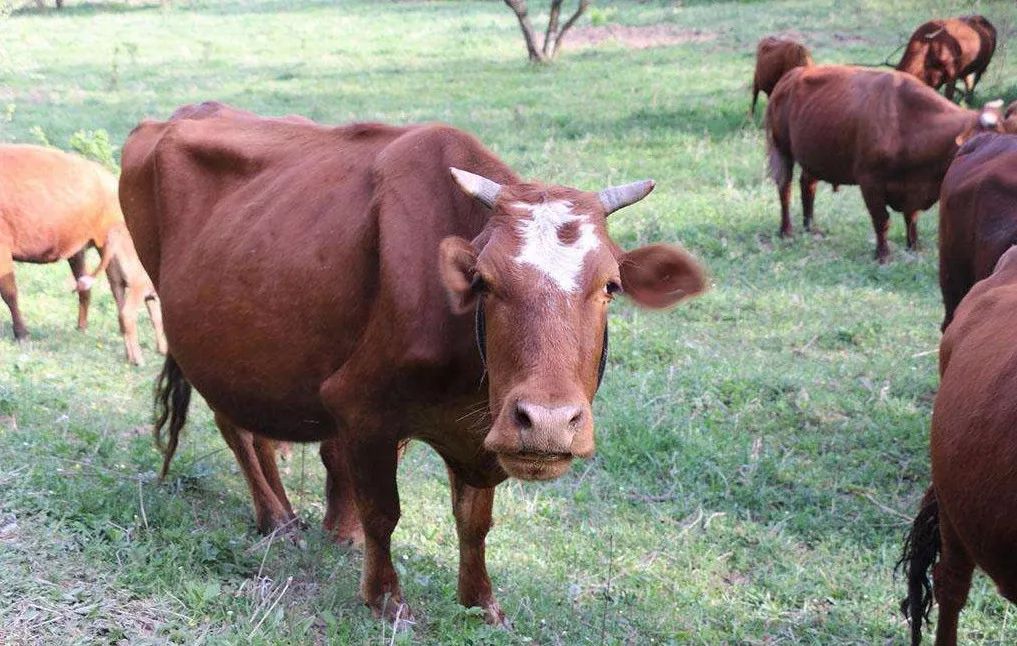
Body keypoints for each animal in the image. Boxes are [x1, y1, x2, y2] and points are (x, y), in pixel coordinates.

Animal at [118, 102, 707, 626]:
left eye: (611, 285)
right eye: (484, 282)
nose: (546, 422)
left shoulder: (479, 431)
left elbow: (474, 520)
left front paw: (480, 603)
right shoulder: (360, 406)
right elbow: (383, 511)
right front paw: (386, 600)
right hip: (199, 342)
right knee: (234, 428)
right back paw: (276, 518)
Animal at [764, 65, 1008, 262]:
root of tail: (792, 74)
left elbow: (911, 217)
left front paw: (914, 246)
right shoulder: (870, 181)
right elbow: (882, 220)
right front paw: (883, 255)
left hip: (814, 154)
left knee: (807, 184)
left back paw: (810, 226)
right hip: (782, 148)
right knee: (785, 188)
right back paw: (786, 230)